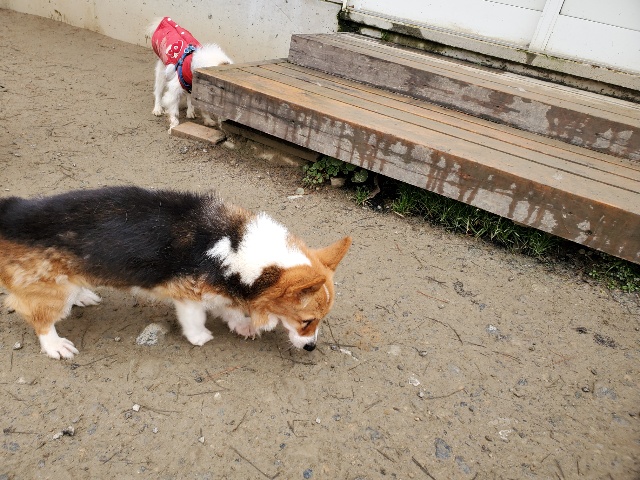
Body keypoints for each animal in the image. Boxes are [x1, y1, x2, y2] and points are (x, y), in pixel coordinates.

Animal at [0, 187, 351, 359]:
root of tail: (11, 212)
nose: (312, 348)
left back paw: (83, 294)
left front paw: (241, 324)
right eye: (306, 321)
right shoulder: (188, 294)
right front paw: (200, 337)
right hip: (49, 293)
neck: (236, 245)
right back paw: (55, 345)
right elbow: (196, 318)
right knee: (40, 319)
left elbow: (228, 308)